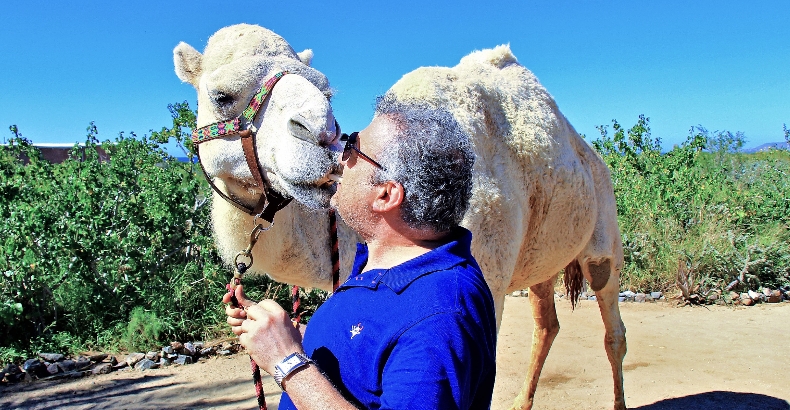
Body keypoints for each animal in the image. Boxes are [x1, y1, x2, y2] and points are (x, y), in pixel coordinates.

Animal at [175, 24, 632, 408]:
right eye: (221, 95)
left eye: (326, 91)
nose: (320, 133)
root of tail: (591, 156)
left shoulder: (490, 281)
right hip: (542, 255)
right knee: (547, 321)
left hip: (603, 235)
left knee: (613, 329)